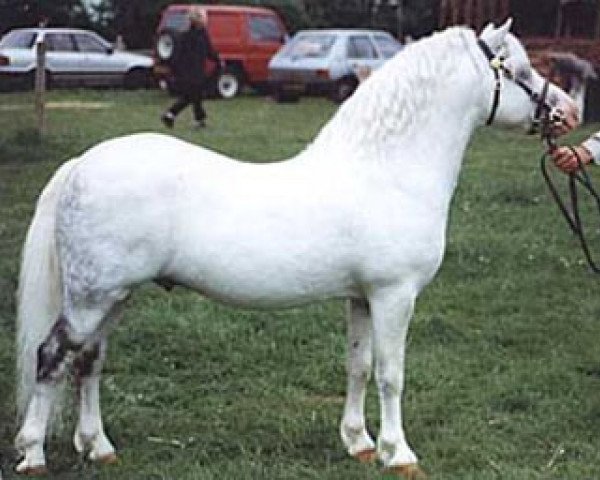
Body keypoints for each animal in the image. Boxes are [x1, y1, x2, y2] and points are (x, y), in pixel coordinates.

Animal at [12, 20, 576, 478]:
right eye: (520, 69)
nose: (569, 112)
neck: (386, 170)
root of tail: (82, 163)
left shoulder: (361, 297)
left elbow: (359, 366)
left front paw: (359, 443)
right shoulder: (394, 295)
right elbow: (391, 375)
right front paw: (399, 453)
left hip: (114, 297)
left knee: (89, 362)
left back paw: (99, 447)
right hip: (91, 299)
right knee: (52, 357)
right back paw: (33, 454)